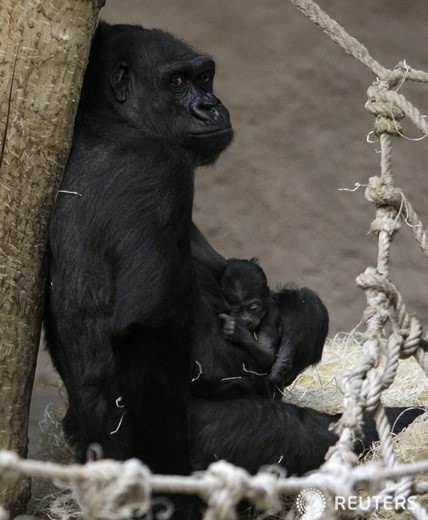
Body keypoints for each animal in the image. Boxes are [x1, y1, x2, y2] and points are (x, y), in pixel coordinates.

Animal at [219, 258, 330, 388]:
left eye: (253, 309)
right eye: (237, 310)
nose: (247, 320)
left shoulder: (270, 317)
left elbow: (267, 353)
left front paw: (238, 332)